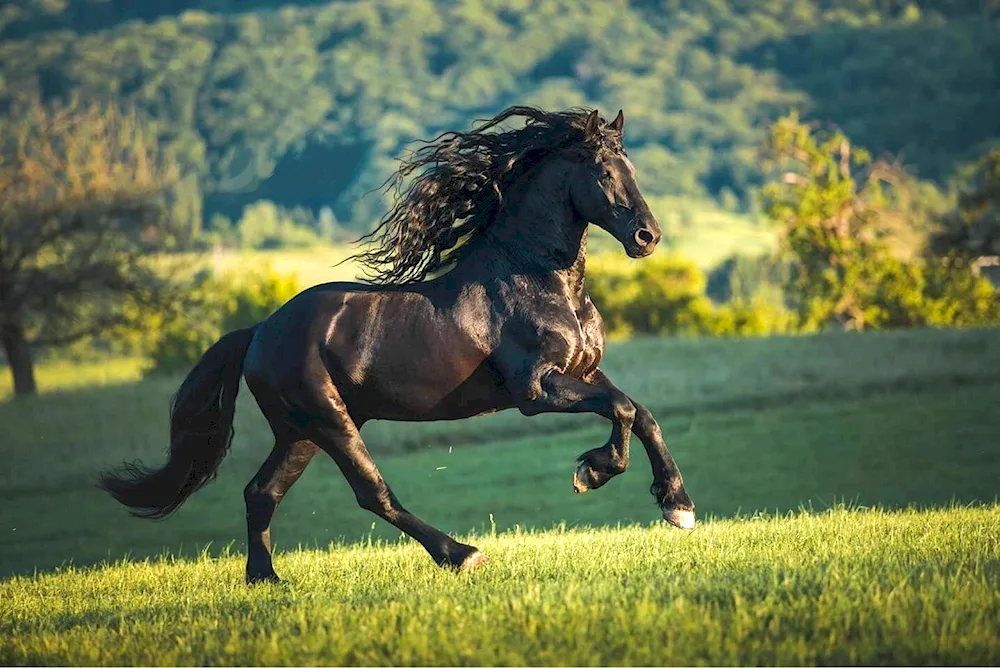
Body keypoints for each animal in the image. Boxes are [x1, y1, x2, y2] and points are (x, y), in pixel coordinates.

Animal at [99, 107, 696, 580]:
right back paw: (461, 554)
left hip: (301, 430)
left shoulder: (584, 372)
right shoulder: (536, 390)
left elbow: (640, 412)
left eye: (633, 170)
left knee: (261, 493)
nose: (648, 237)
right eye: (604, 172)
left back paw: (264, 578)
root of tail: (260, 331)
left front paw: (677, 505)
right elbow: (620, 409)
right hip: (329, 422)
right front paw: (592, 472)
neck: (540, 279)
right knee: (373, 494)